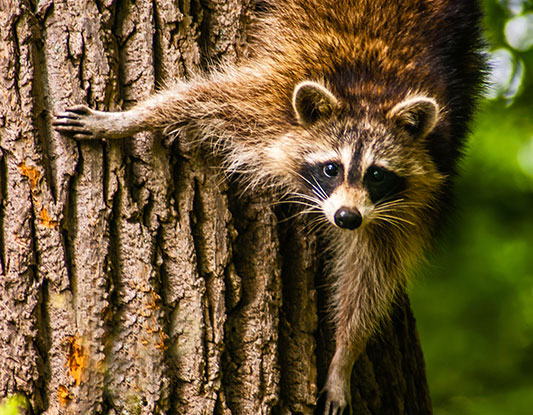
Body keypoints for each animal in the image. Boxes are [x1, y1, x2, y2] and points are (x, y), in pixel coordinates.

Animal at [54, 1, 486, 414]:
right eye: (332, 168)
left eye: (377, 175)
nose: (346, 218)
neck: (371, 98)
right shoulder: (272, 96)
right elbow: (200, 97)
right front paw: (125, 119)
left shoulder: (411, 197)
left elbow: (370, 273)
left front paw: (344, 357)